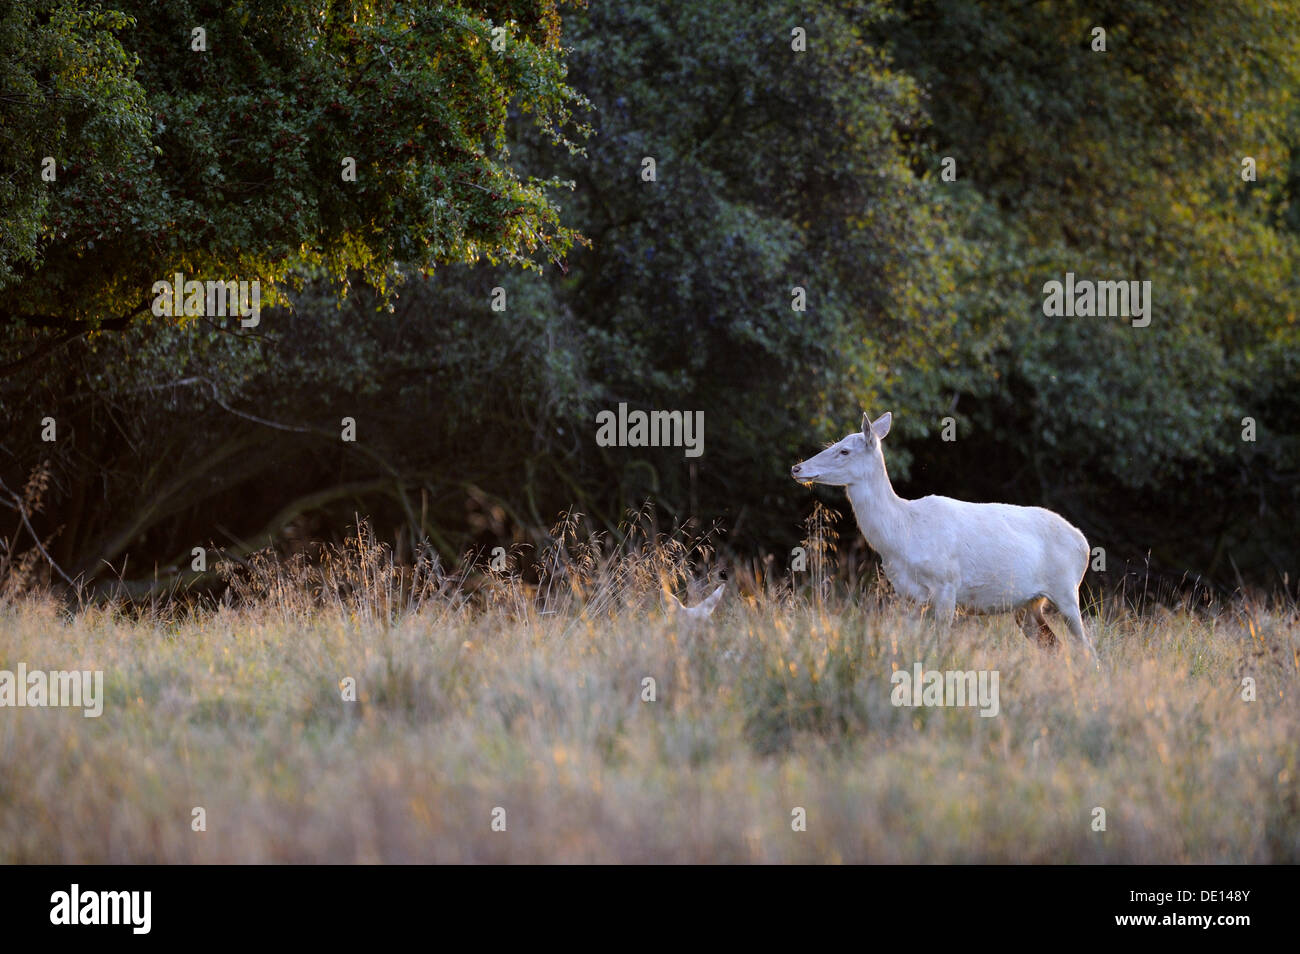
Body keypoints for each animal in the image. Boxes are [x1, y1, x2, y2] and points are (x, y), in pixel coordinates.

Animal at [790, 410, 1097, 657]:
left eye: (844, 451)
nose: (797, 467)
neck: (903, 534)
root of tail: (1084, 542)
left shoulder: (947, 584)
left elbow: (940, 642)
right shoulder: (907, 595)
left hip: (1067, 590)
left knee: (1087, 649)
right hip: (1029, 606)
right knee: (1054, 646)